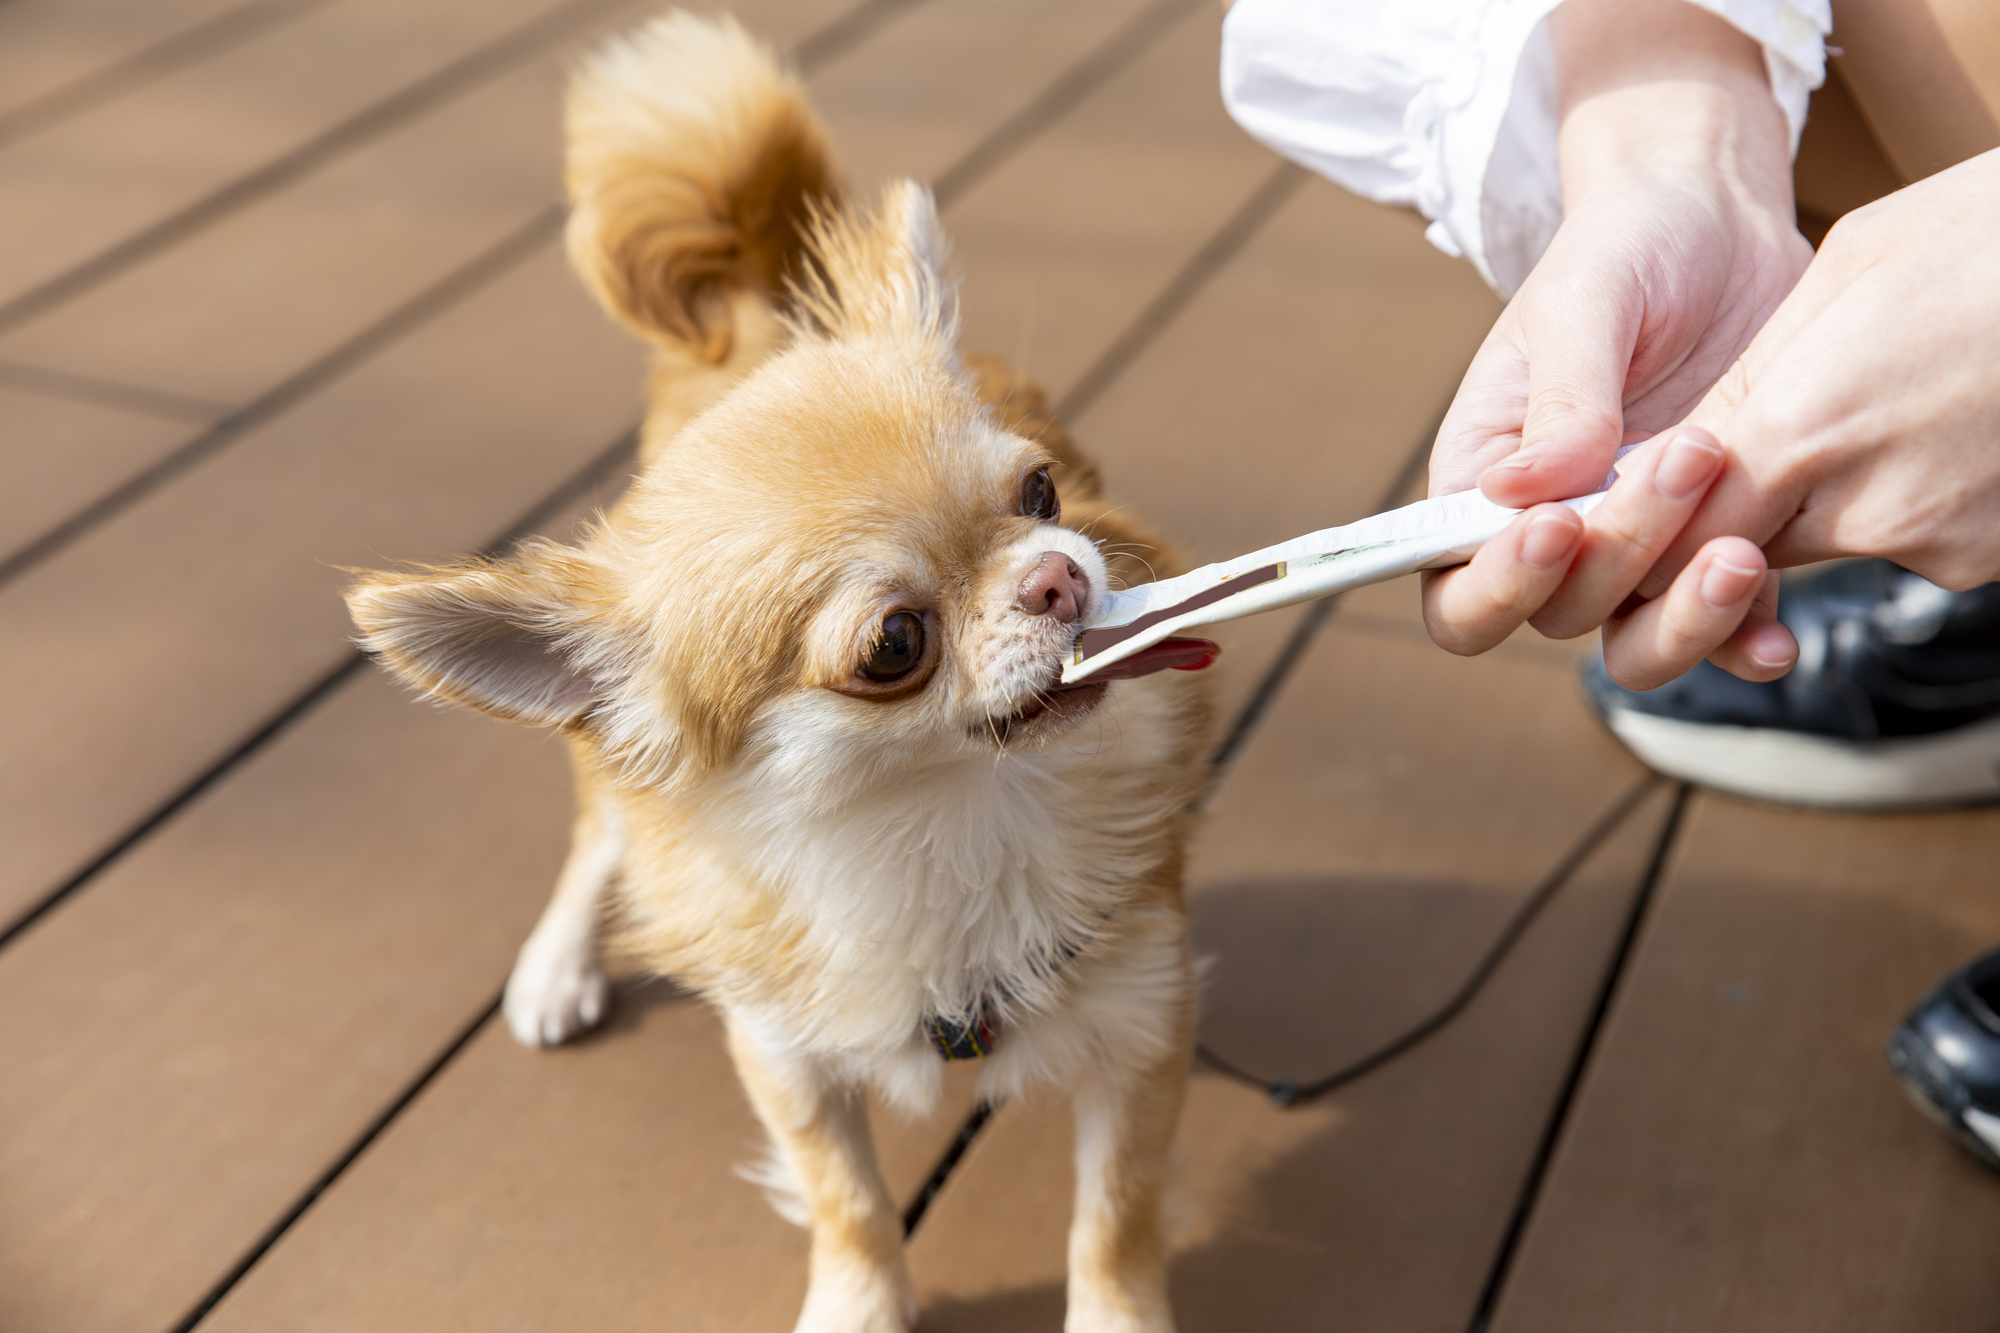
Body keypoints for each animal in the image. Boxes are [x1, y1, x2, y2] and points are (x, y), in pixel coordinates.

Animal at [346, 15, 1208, 1320]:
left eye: (1041, 491)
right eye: (893, 645)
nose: (1060, 576)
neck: (938, 827)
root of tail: (755, 320)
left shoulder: (1139, 1028)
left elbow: (1113, 1218)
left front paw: (1116, 1318)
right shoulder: (785, 1054)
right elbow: (848, 1201)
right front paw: (858, 1309)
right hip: (616, 778)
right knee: (598, 839)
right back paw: (554, 965)